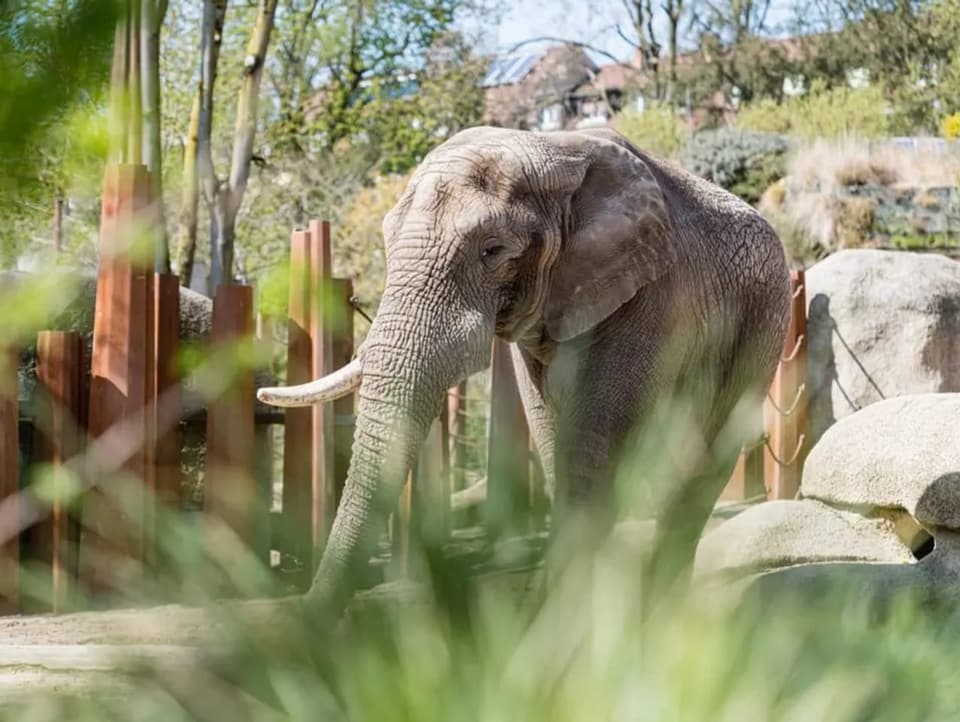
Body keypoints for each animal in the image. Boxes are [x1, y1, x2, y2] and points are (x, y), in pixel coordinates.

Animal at [258, 126, 792, 620]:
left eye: (492, 250)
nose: (307, 626)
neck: (552, 148)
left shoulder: (654, 292)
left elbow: (593, 436)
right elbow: (553, 432)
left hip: (763, 323)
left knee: (706, 461)